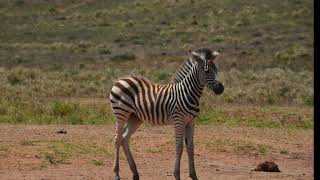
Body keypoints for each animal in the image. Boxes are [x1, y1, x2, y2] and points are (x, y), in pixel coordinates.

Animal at [109, 47, 224, 180]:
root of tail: (121, 80)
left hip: (135, 117)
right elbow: (179, 147)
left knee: (124, 138)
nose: (221, 88)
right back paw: (116, 174)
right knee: (117, 139)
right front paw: (177, 175)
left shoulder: (191, 122)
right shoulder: (179, 121)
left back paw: (135, 173)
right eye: (206, 71)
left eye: (216, 70)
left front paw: (194, 175)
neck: (188, 93)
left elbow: (190, 147)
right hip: (121, 113)